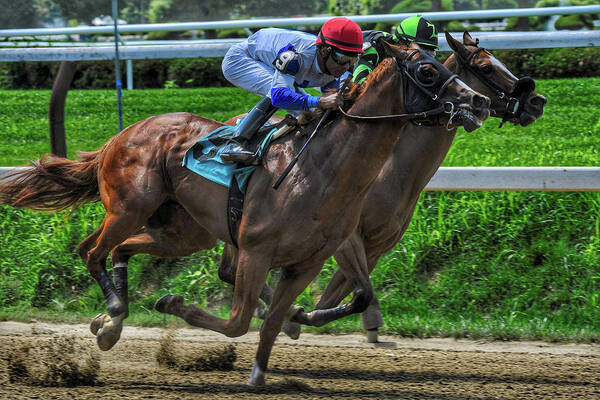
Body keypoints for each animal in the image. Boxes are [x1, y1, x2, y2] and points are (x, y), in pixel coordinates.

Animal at [0, 40, 492, 384]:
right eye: (427, 69)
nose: (479, 102)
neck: (322, 168)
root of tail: (120, 136)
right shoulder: (256, 252)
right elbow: (239, 320)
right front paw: (174, 303)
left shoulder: (313, 258)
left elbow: (286, 317)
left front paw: (263, 369)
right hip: (129, 206)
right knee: (91, 250)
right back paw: (116, 309)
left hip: (183, 231)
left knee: (121, 249)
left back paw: (111, 323)